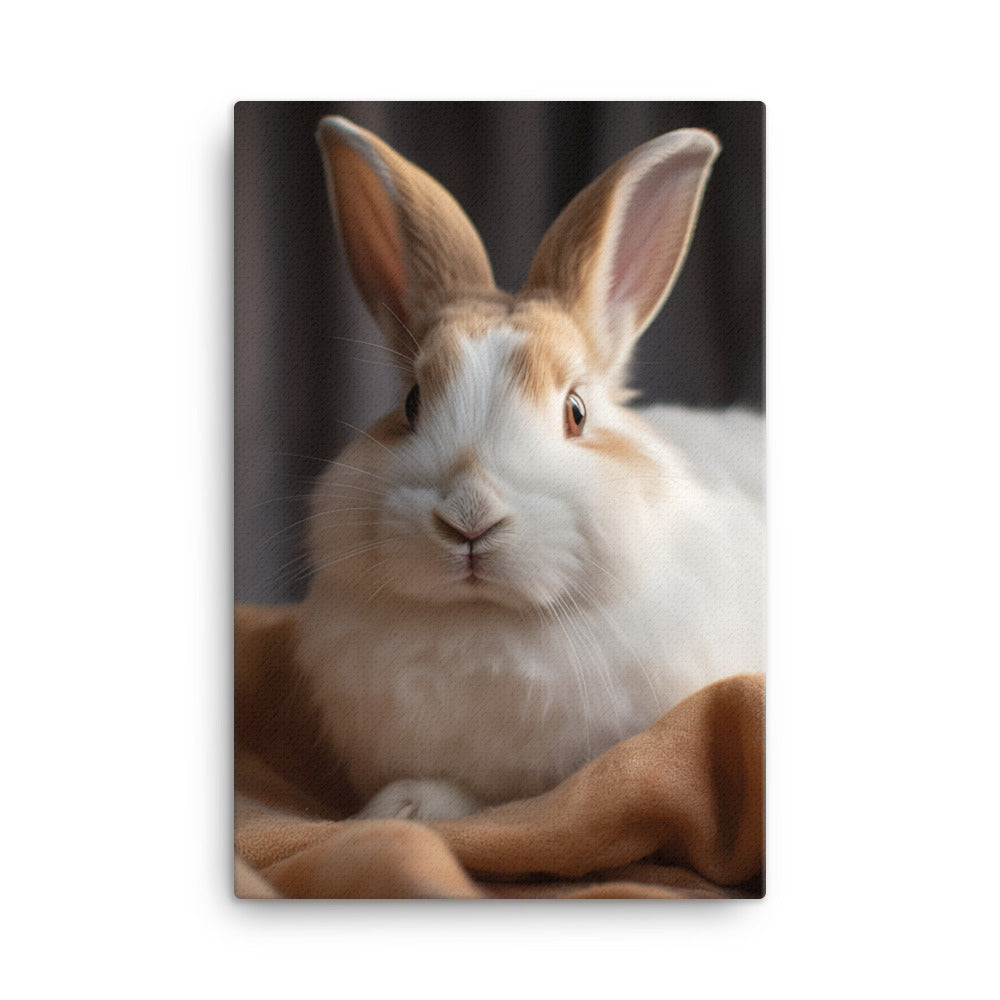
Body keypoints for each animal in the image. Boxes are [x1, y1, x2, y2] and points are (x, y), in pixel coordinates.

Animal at [294, 117, 764, 822]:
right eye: (411, 403)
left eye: (576, 412)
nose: (469, 518)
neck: (484, 622)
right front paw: (401, 809)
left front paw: (412, 809)